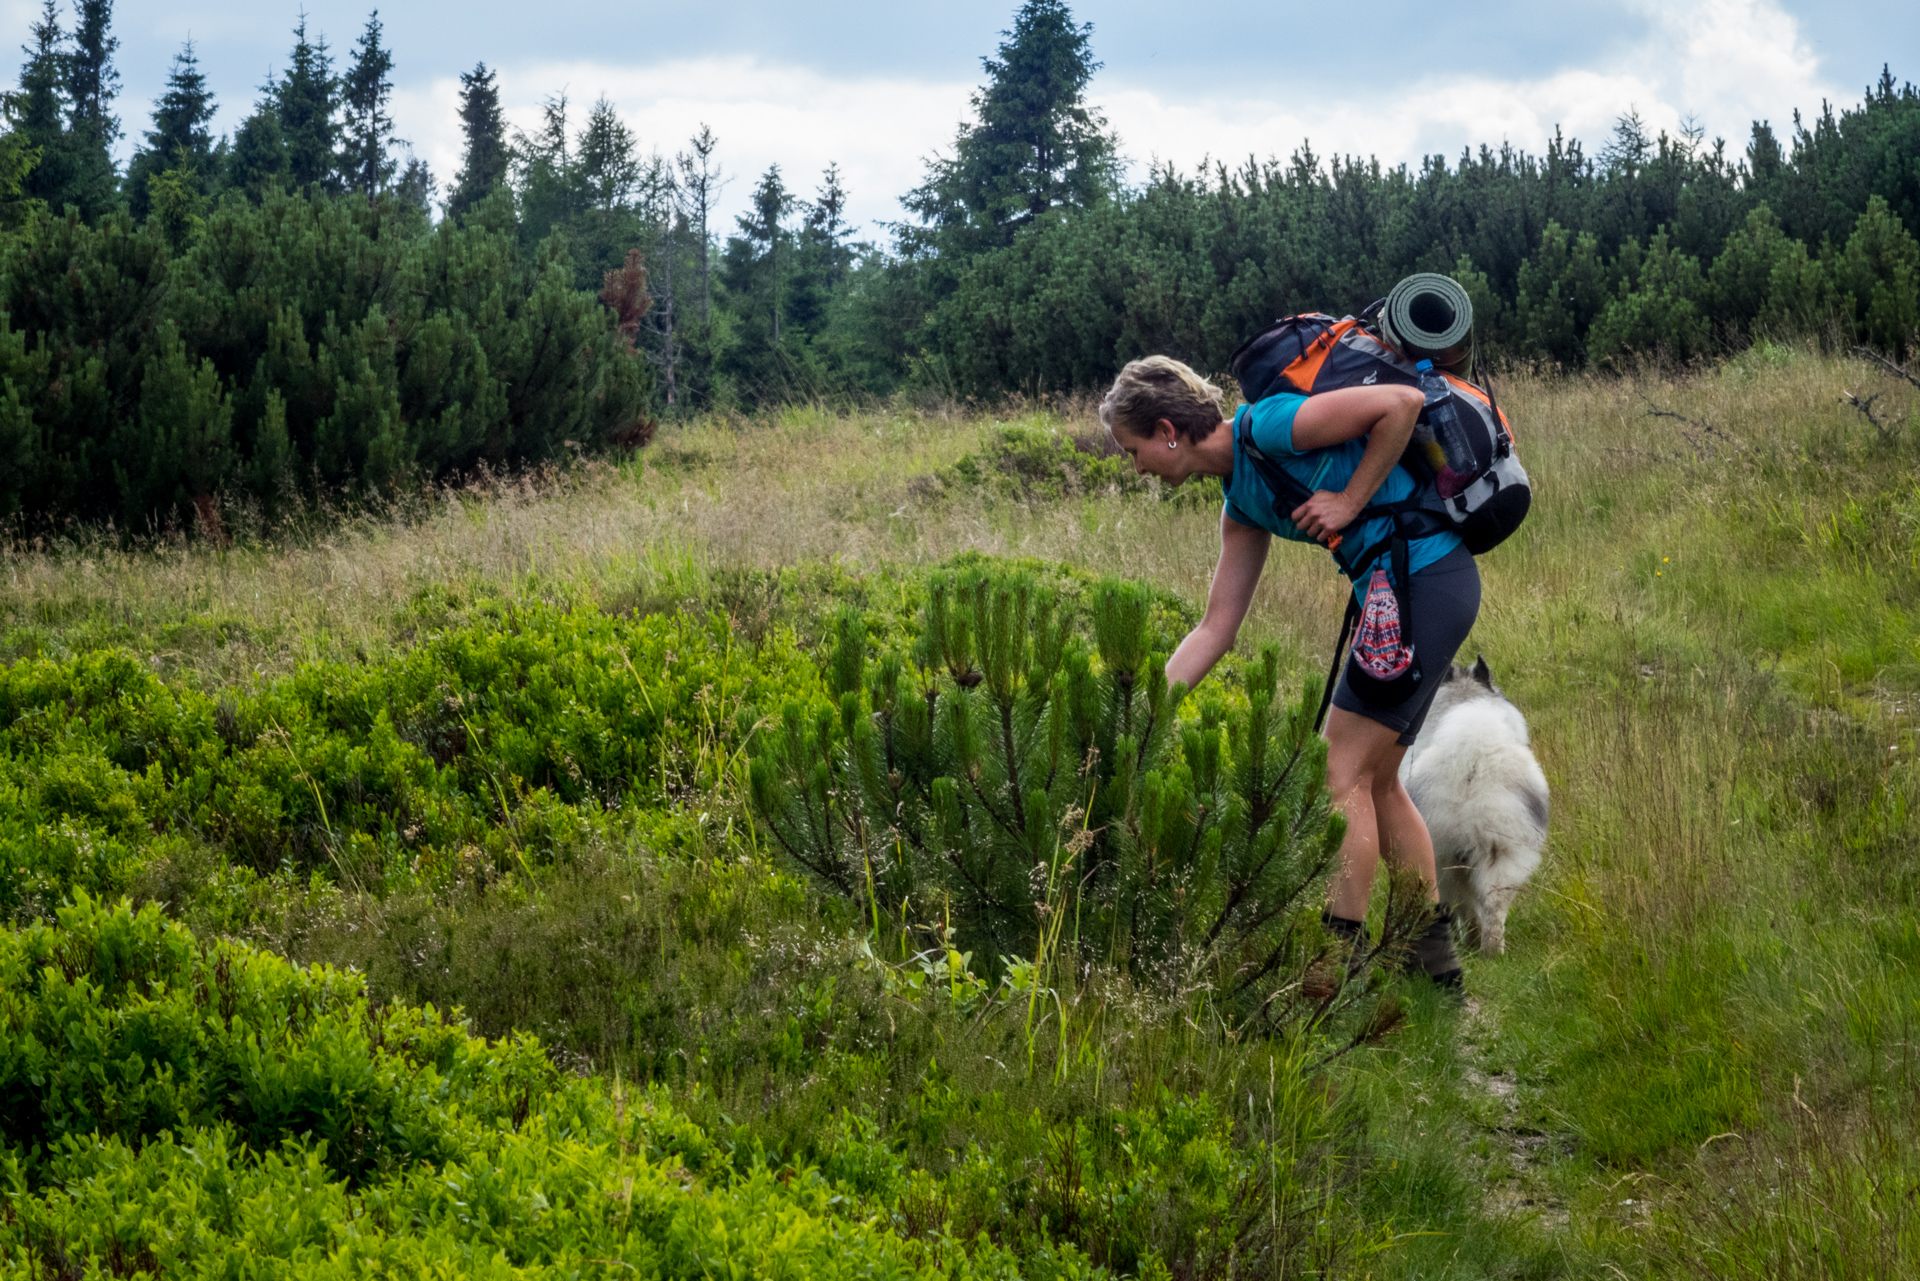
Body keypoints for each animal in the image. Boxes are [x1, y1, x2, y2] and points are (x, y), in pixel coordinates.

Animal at [1405, 660, 1551, 952]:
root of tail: (1474, 762)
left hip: (1447, 859)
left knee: (1466, 905)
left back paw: (1474, 943)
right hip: (1503, 853)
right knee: (1492, 905)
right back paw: (1492, 949)